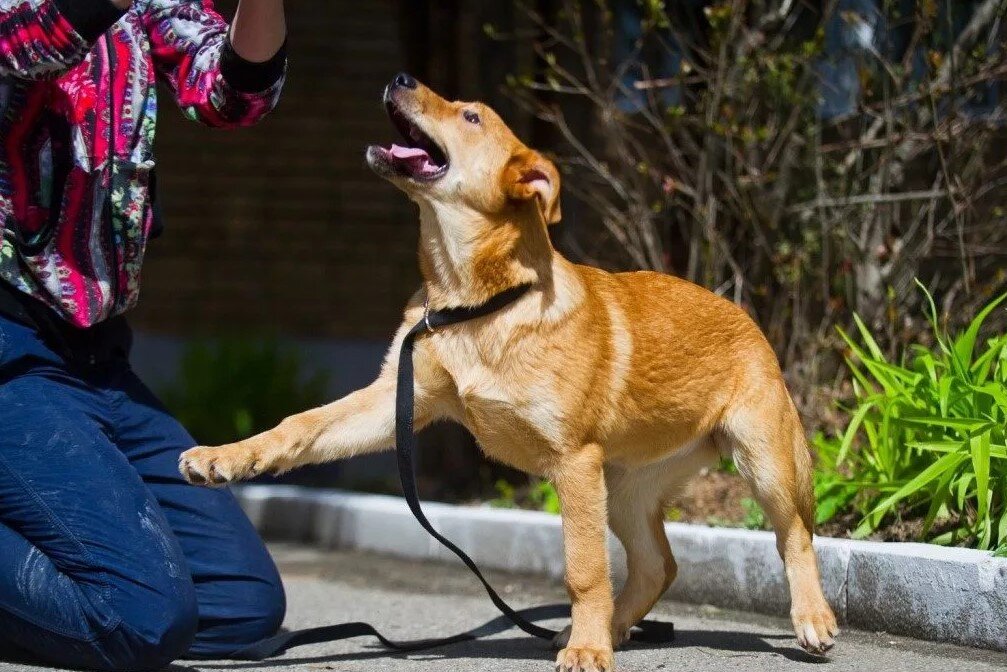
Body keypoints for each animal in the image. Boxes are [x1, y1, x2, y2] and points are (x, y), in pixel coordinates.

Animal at [177, 75, 837, 672]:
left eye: (471, 117)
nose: (399, 78)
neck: (472, 304)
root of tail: (746, 316)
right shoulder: (394, 405)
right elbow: (299, 425)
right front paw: (223, 457)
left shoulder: (574, 462)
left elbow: (583, 570)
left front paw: (589, 650)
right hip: (626, 487)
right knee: (659, 565)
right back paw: (610, 629)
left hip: (761, 459)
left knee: (794, 537)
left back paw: (809, 619)